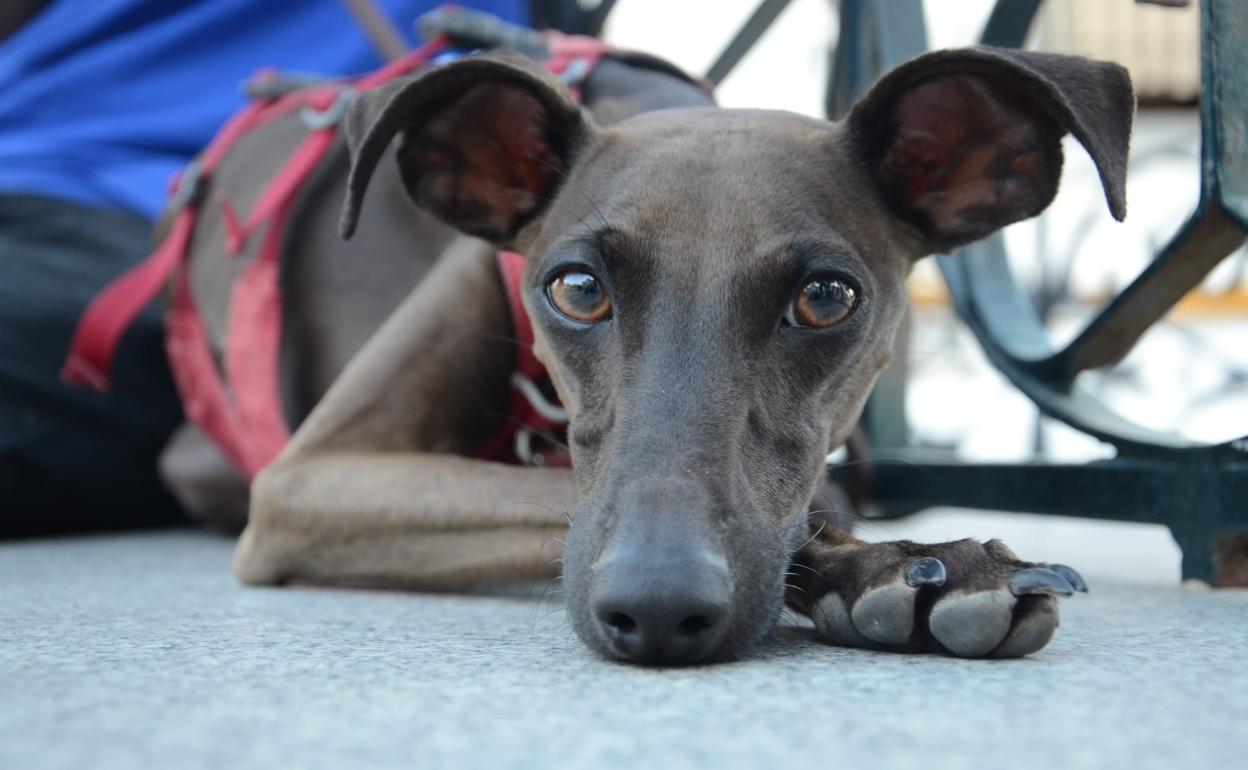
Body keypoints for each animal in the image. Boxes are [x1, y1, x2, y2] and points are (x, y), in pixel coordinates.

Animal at [158, 40, 1133, 658]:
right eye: (577, 288)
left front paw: (893, 571)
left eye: (826, 297)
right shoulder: (306, 481)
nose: (658, 612)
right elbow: (547, 496)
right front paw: (885, 567)